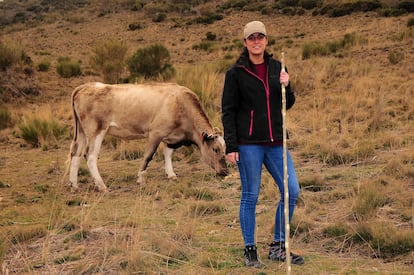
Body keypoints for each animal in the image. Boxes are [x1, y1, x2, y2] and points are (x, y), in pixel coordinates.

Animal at [63, 82, 228, 192]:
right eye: (215, 149)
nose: (225, 171)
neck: (180, 104)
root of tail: (86, 86)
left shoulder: (170, 136)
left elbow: (168, 153)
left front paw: (171, 174)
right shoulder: (155, 133)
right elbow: (148, 156)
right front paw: (140, 179)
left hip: (82, 132)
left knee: (76, 153)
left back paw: (74, 185)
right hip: (96, 130)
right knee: (90, 156)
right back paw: (101, 186)